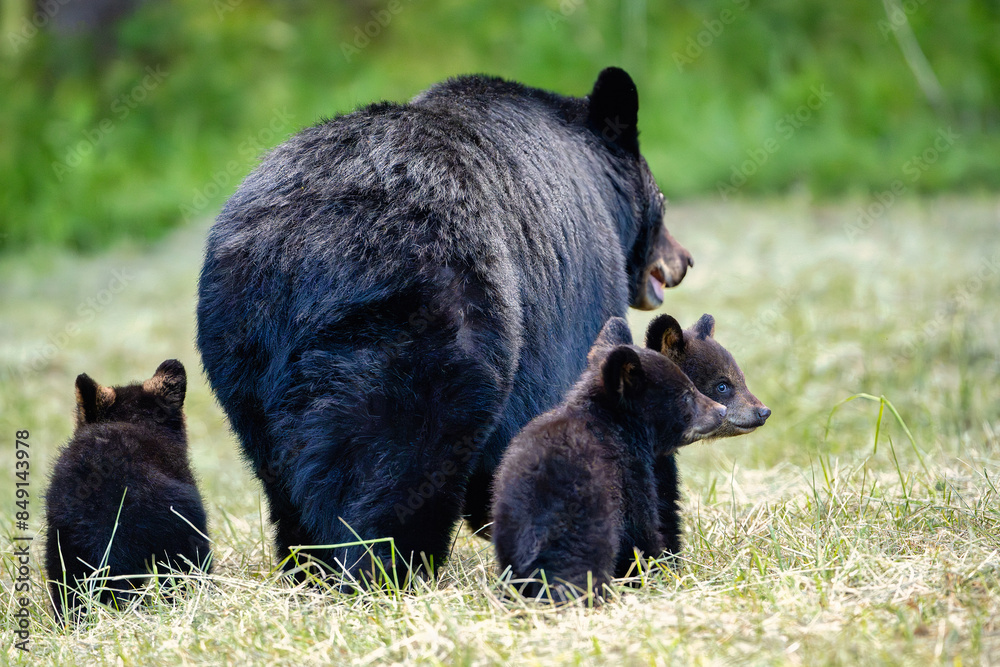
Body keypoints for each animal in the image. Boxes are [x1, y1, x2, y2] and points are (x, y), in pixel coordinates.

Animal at [196, 67, 693, 584]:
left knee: (280, 477)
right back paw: (390, 570)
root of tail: (300, 248)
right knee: (404, 461)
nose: (685, 260)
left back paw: (310, 569)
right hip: (422, 327)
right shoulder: (578, 291)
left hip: (240, 349)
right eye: (662, 202)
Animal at [490, 317, 727, 603]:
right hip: (584, 525)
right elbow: (641, 529)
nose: (721, 411)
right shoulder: (629, 474)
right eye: (686, 395)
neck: (614, 424)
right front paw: (658, 573)